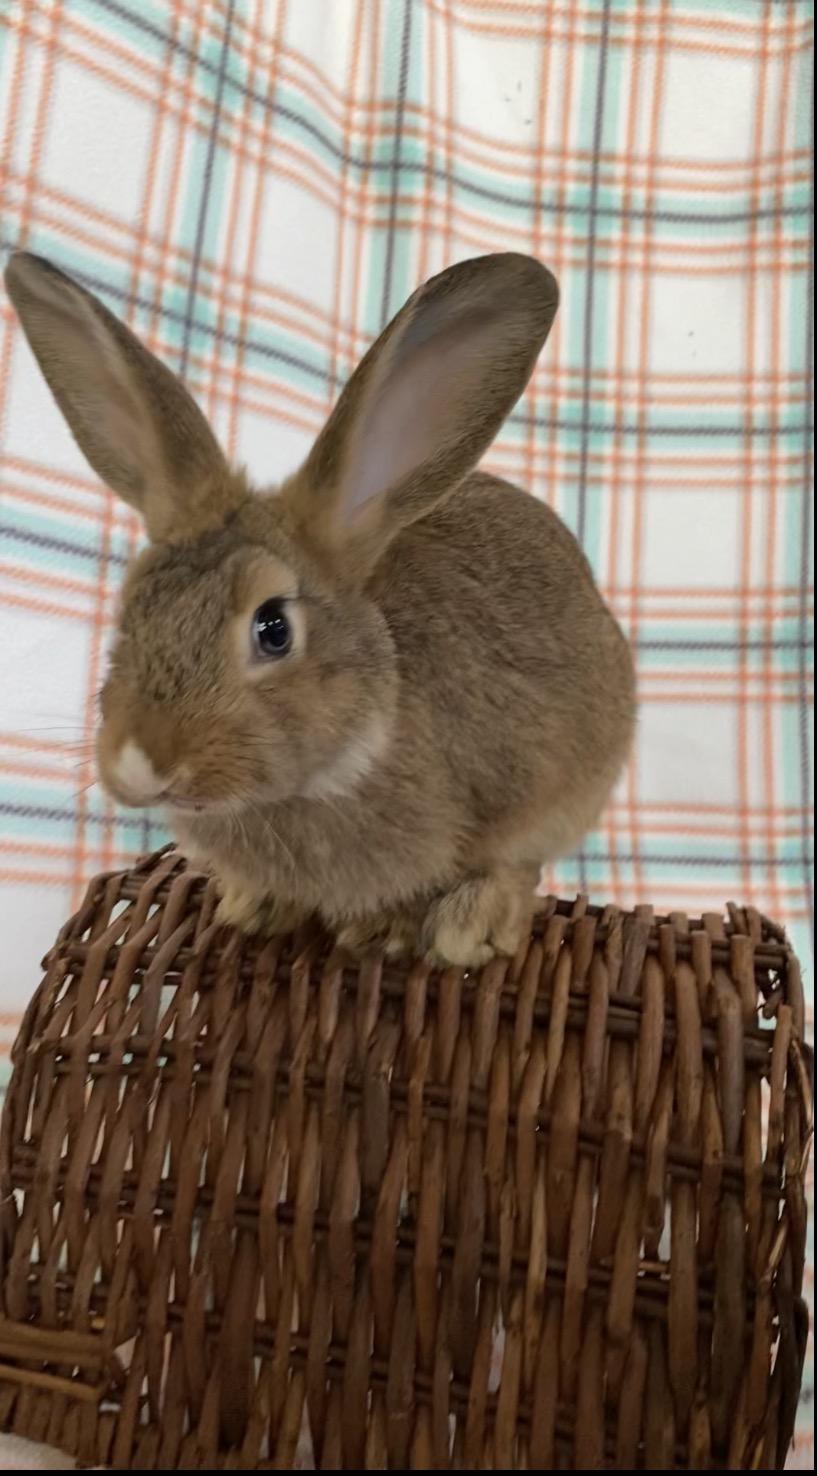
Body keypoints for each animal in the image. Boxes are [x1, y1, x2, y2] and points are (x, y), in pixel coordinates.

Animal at [5, 250, 635, 967]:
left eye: (274, 628)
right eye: (130, 609)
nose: (141, 765)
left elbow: (502, 864)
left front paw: (408, 932)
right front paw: (253, 907)